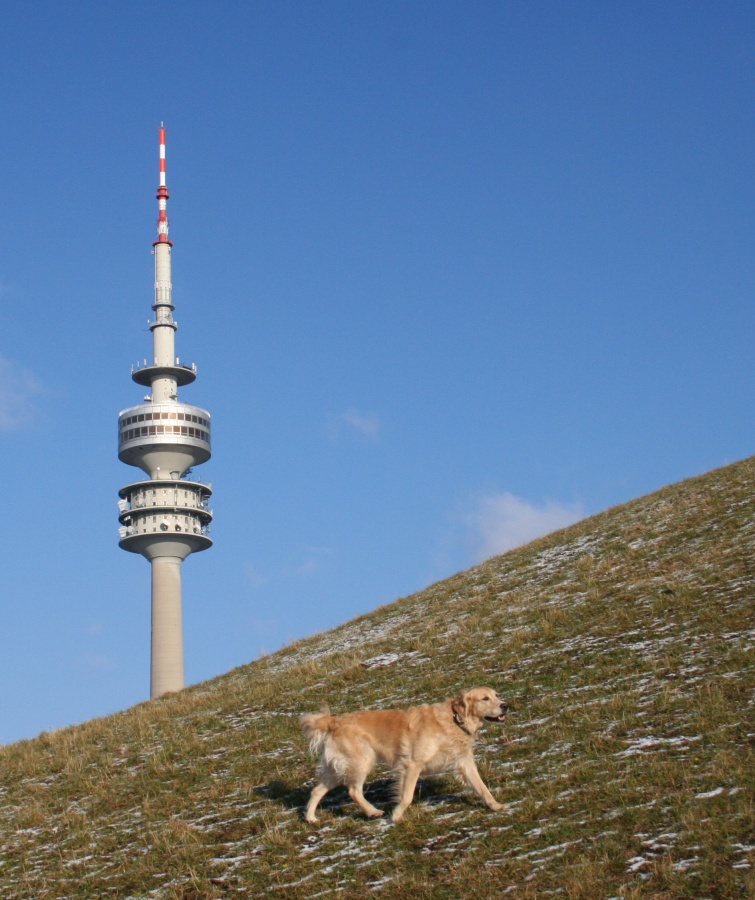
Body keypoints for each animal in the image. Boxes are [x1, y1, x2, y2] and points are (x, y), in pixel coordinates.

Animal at [300, 688, 508, 824]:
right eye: (485, 698)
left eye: (497, 695)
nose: (506, 705)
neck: (454, 720)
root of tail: (335, 721)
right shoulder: (412, 764)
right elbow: (407, 796)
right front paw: (396, 816)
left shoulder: (464, 762)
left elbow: (482, 787)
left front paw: (496, 806)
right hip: (362, 761)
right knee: (353, 791)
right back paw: (373, 812)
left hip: (336, 769)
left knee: (316, 791)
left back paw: (311, 818)